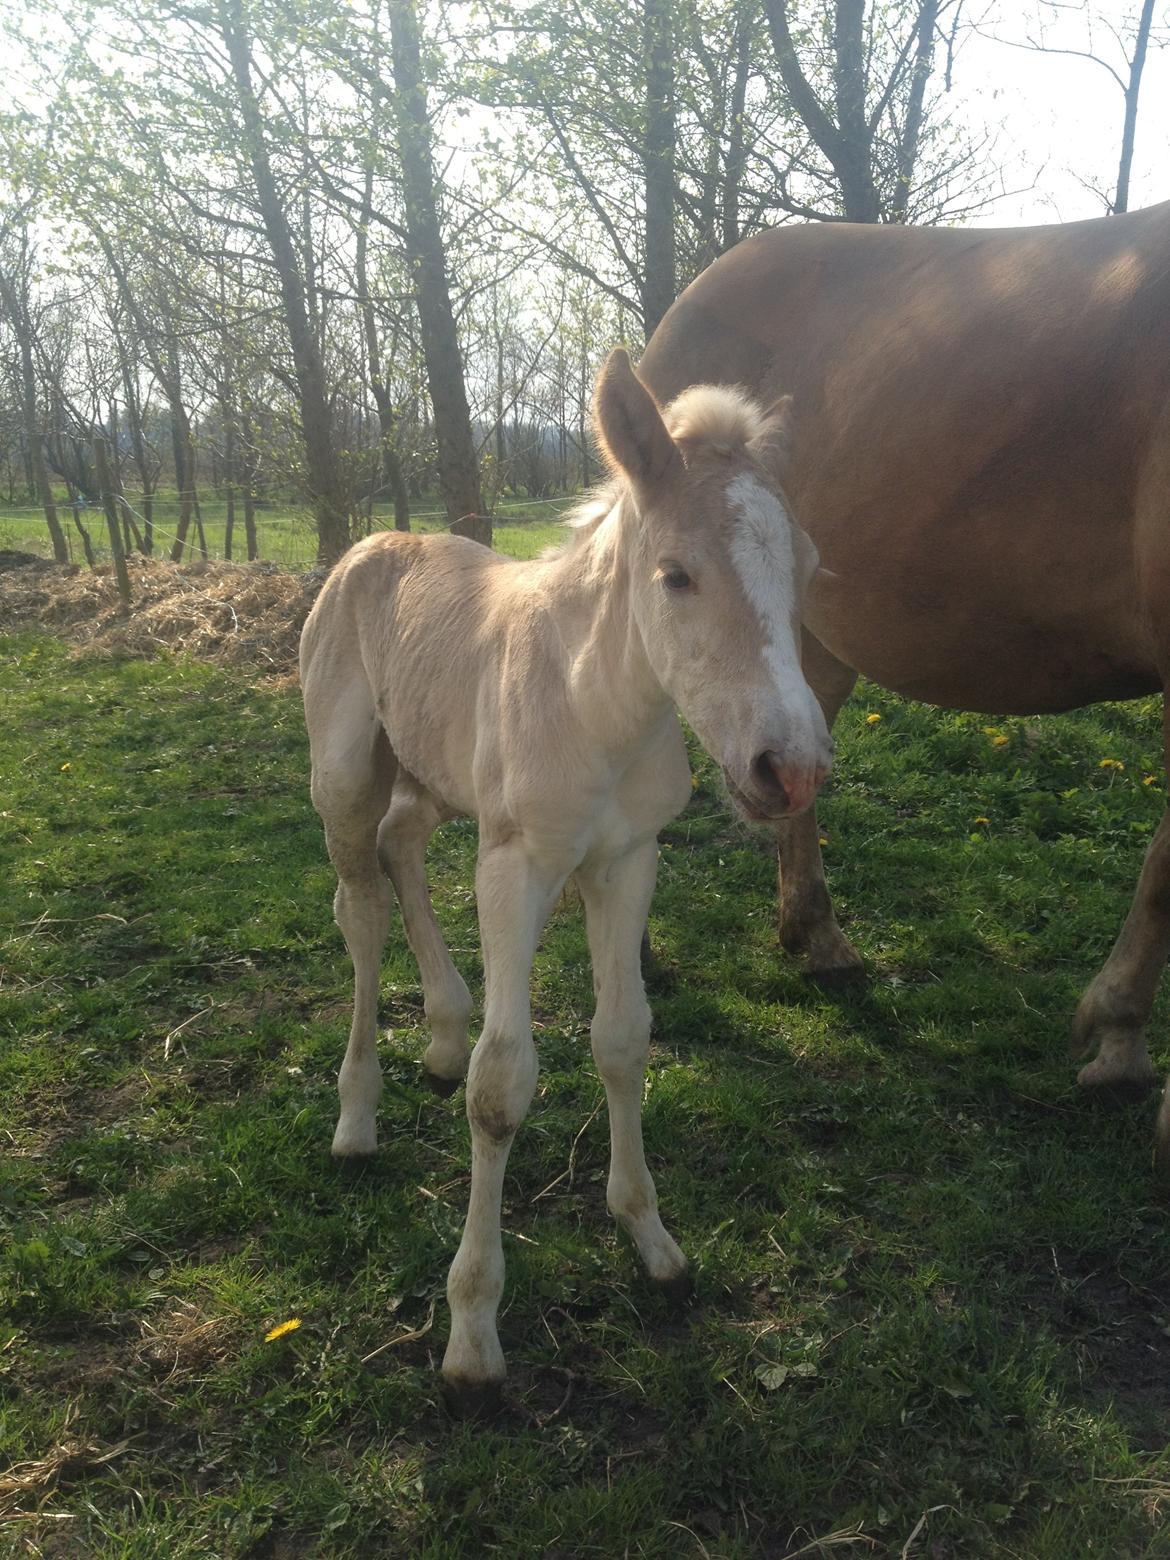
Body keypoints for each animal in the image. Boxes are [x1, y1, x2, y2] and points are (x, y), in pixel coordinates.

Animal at [302, 351, 836, 1416]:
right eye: (676, 575)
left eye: (803, 571)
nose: (790, 770)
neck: (599, 709)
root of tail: (368, 543)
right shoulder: (515, 867)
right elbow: (501, 1087)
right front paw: (472, 1332)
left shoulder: (627, 861)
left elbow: (623, 1040)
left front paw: (652, 1239)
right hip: (342, 773)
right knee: (360, 905)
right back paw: (357, 1113)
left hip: (433, 776)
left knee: (401, 846)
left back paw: (440, 1029)